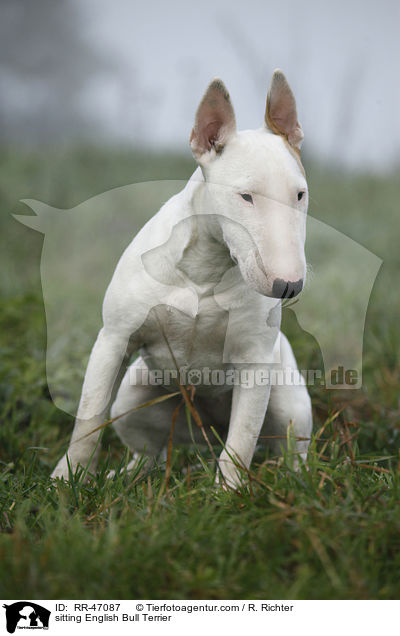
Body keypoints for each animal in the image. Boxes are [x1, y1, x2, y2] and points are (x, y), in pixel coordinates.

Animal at [50, 71, 312, 486]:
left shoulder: (255, 363)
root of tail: (206, 429)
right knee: (148, 453)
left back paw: (297, 482)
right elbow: (89, 419)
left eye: (300, 194)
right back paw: (124, 478)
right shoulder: (114, 338)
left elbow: (242, 440)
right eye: (245, 196)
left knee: (287, 450)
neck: (206, 268)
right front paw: (66, 480)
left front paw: (227, 492)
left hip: (288, 401)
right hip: (135, 395)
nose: (287, 286)